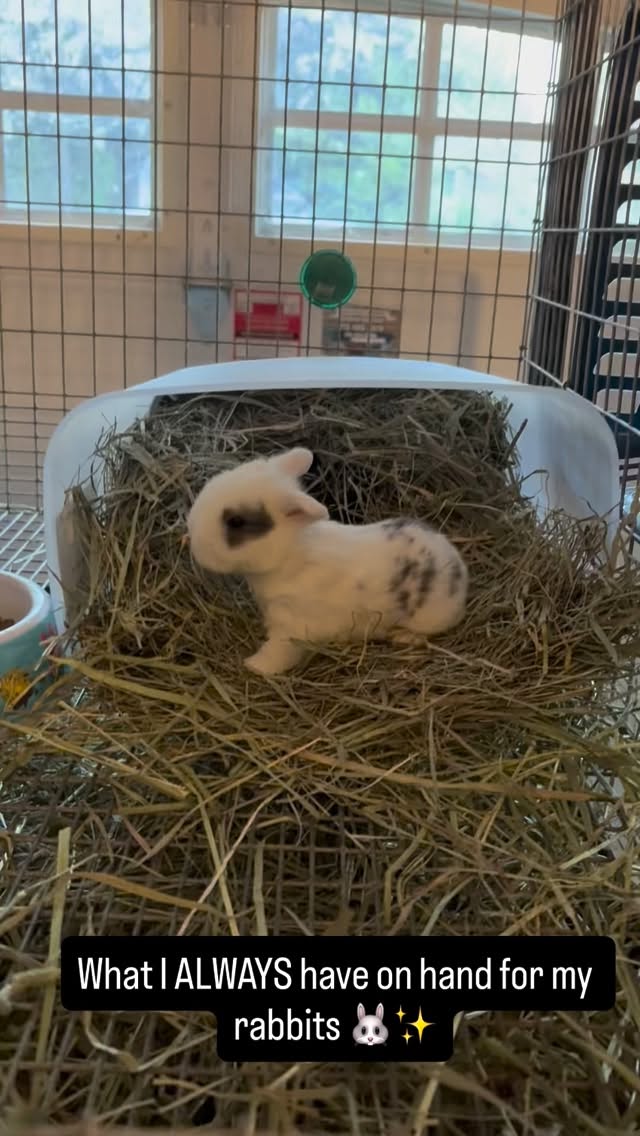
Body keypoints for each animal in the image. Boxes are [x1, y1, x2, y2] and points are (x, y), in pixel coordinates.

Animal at [185, 446, 468, 676]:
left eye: (236, 522)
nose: (192, 537)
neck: (289, 557)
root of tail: (459, 568)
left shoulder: (291, 627)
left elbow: (277, 654)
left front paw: (253, 666)